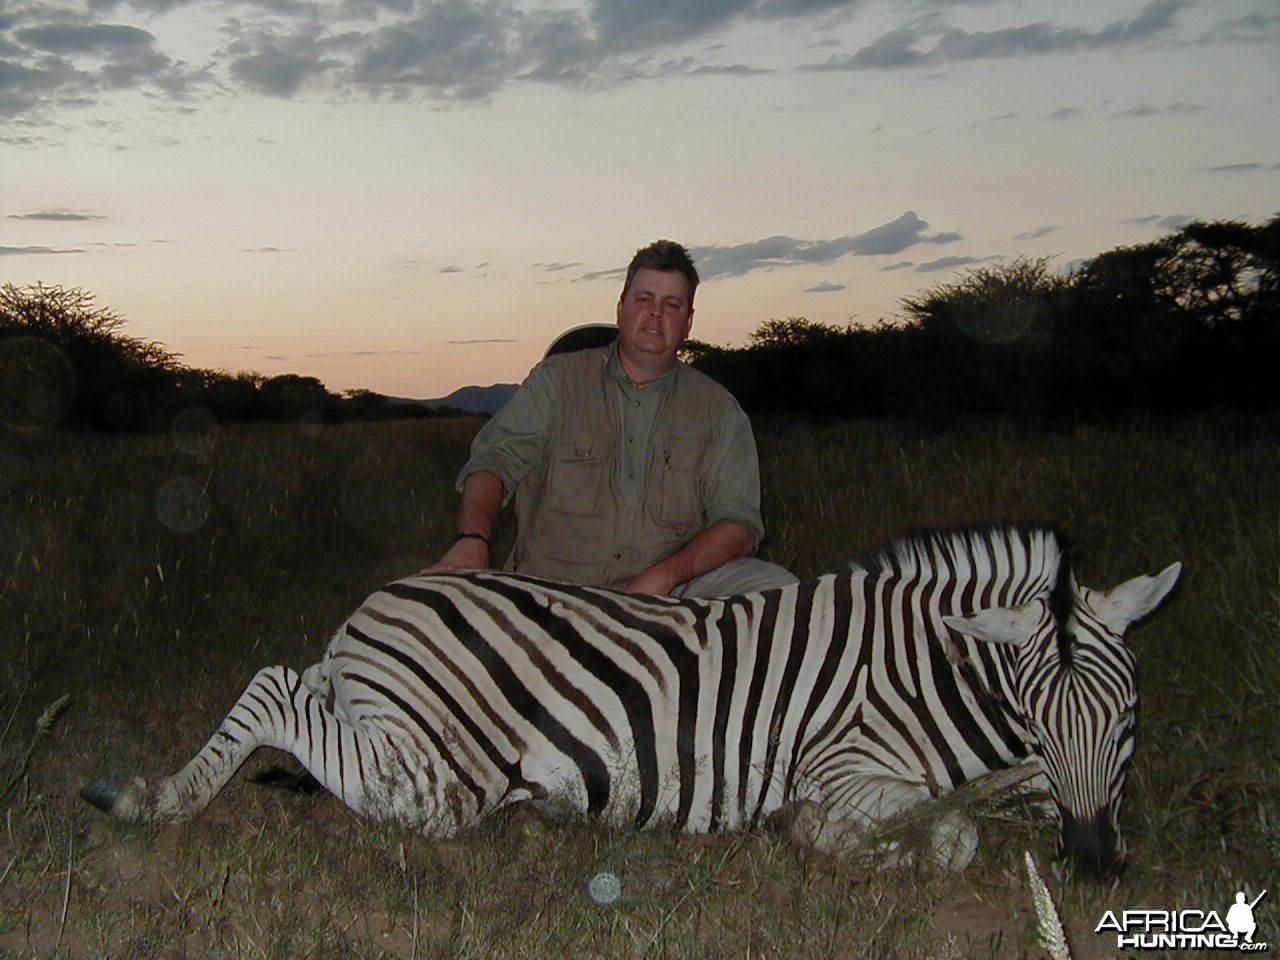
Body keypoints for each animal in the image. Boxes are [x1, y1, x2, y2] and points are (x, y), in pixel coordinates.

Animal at [80, 527, 1177, 880]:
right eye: (1038, 717)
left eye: (1125, 725)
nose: (1092, 868)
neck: (921, 670)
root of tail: (382, 600)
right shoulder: (841, 770)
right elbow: (937, 833)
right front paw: (845, 838)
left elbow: (1000, 801)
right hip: (440, 780)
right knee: (274, 689)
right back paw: (150, 800)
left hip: (388, 721)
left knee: (295, 695)